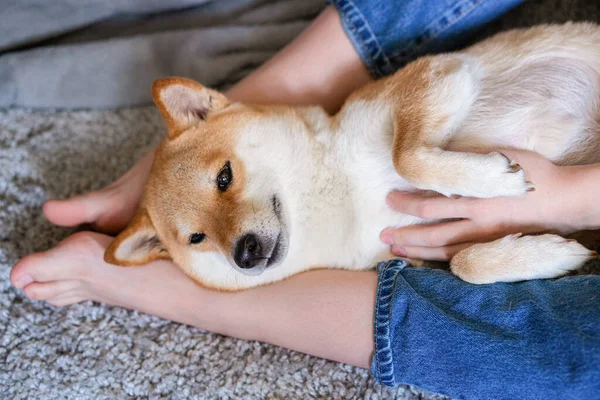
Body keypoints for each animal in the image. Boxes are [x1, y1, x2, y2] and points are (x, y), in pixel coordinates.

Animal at [105, 22, 596, 290]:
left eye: (224, 177)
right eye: (197, 238)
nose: (244, 254)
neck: (340, 198)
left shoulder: (439, 72)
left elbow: (406, 158)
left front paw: (495, 182)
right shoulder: (416, 253)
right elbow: (463, 263)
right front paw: (548, 255)